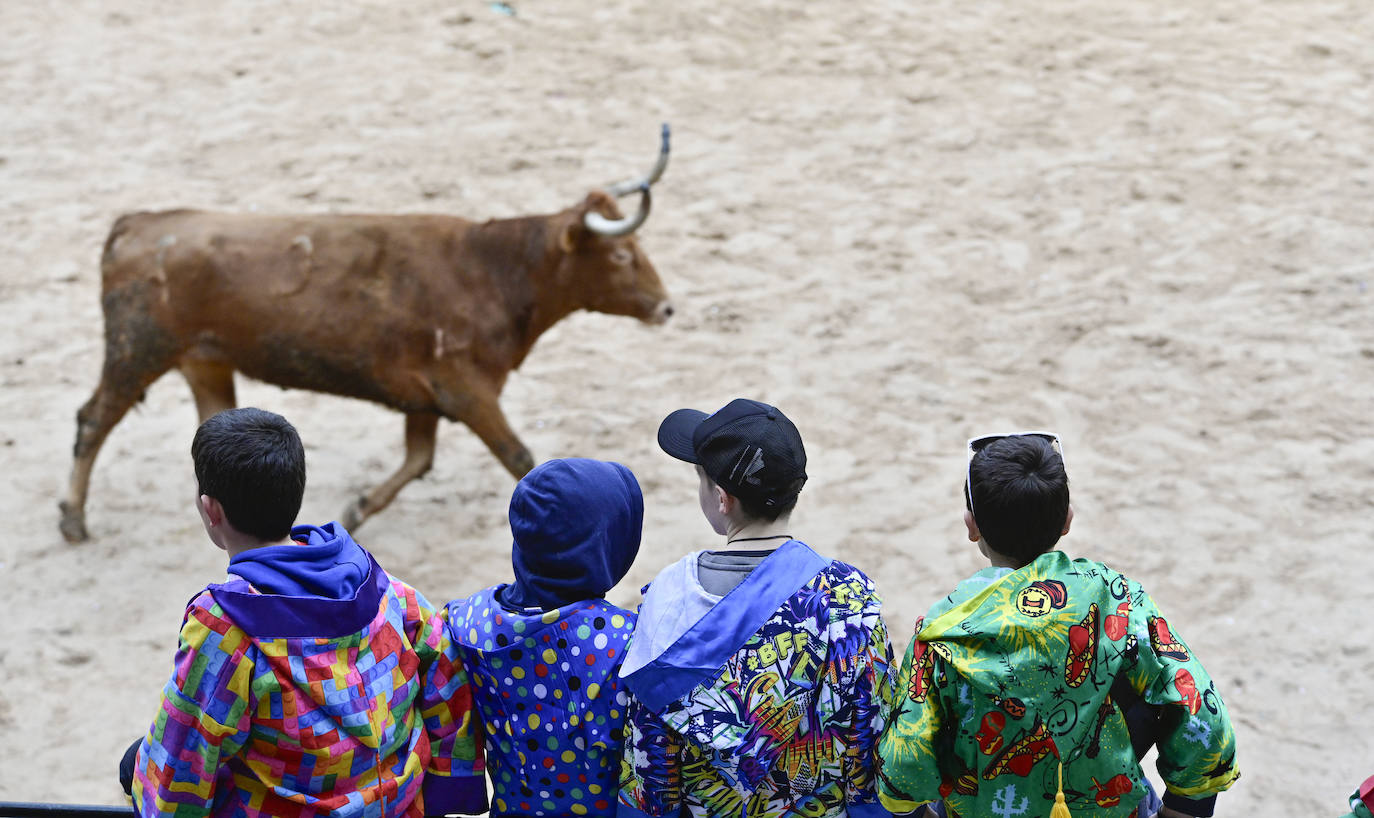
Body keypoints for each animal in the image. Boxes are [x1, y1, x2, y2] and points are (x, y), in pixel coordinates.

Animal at [61, 126, 673, 544]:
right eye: (621, 253)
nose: (667, 307)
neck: (491, 269)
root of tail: (140, 223)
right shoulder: (467, 390)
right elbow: (520, 458)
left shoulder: (425, 399)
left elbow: (419, 460)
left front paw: (356, 510)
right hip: (136, 352)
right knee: (92, 421)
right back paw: (72, 518)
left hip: (205, 361)